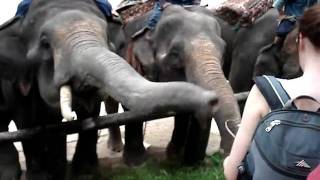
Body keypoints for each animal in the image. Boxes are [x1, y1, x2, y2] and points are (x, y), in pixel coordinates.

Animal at [0, 0, 218, 179]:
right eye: (45, 43)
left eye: (106, 37)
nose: (213, 100)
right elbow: (36, 119)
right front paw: (52, 175)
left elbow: (90, 111)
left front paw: (86, 172)